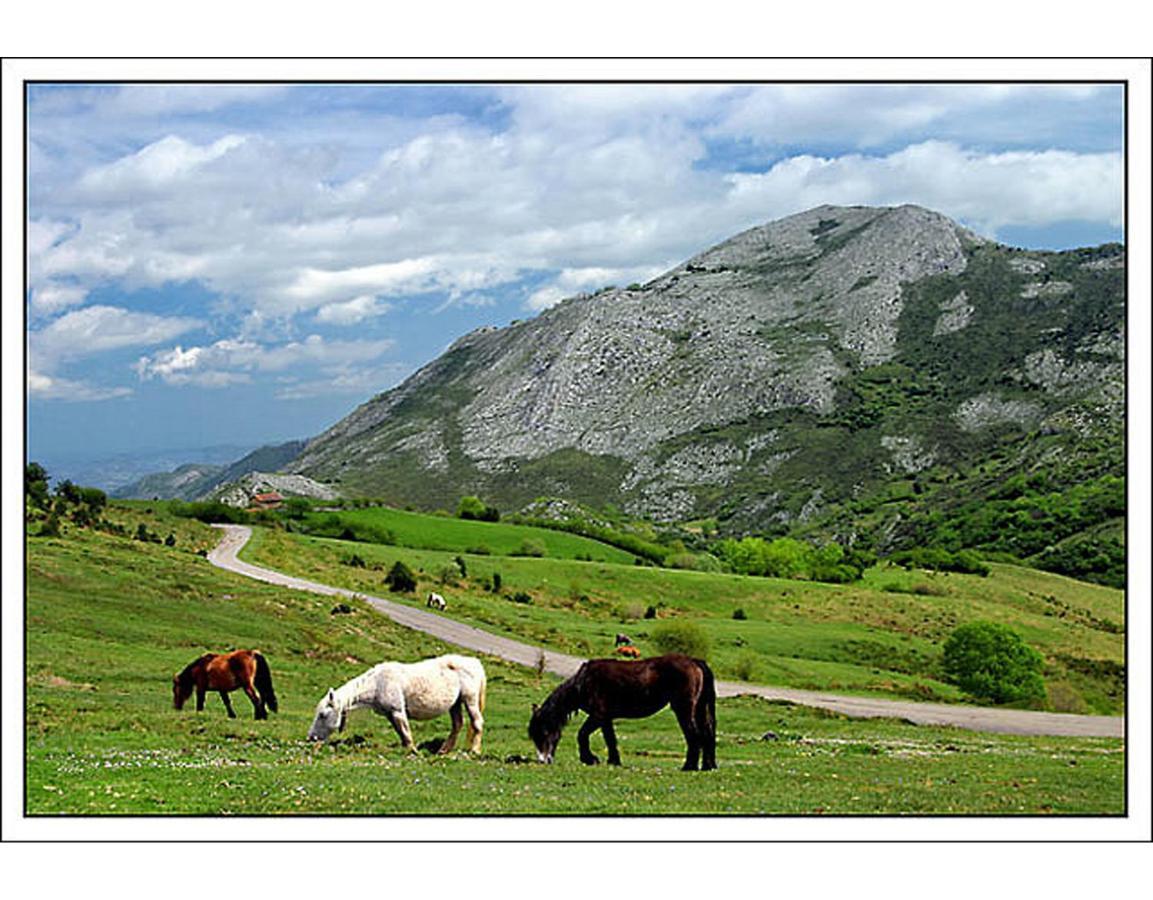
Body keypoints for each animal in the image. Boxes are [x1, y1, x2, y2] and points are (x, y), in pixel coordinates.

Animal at [306, 654, 486, 751]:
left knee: (477, 723)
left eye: (322, 715)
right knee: (457, 725)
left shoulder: (398, 711)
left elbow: (405, 732)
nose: (311, 738)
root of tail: (475, 662)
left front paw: (413, 751)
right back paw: (443, 750)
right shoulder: (390, 714)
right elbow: (401, 733)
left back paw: (474, 750)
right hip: (455, 704)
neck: (378, 683)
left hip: (469, 700)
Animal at [528, 649, 710, 769]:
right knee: (705, 734)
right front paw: (614, 761)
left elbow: (582, 735)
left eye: (544, 732)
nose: (543, 760)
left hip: (683, 710)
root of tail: (693, 661)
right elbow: (610, 739)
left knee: (694, 736)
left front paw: (589, 759)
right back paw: (706, 766)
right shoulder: (605, 718)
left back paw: (689, 766)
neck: (583, 682)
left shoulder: (598, 715)